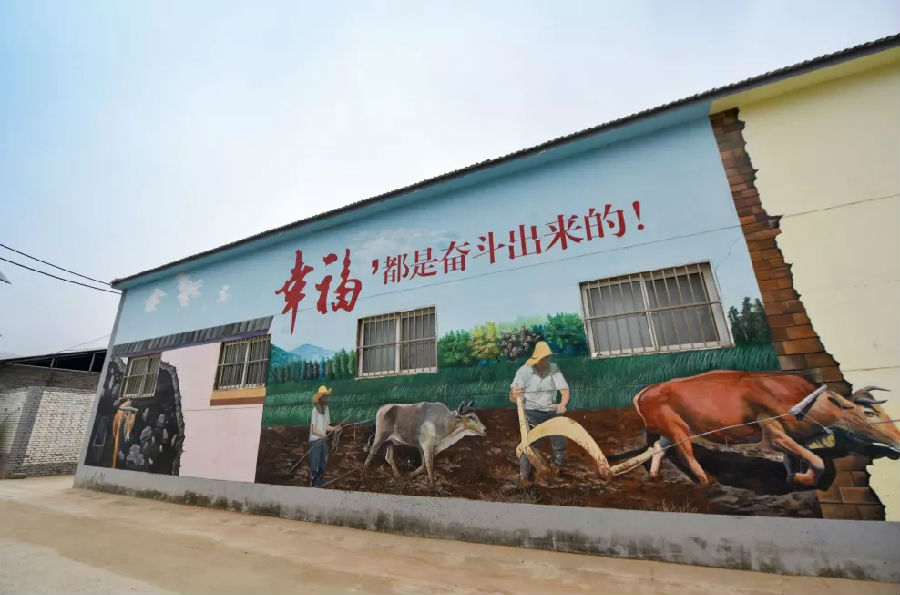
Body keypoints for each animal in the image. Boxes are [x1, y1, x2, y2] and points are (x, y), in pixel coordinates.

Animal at [632, 370, 900, 487]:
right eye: (869, 412)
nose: (898, 438)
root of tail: (646, 390)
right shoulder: (773, 434)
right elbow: (817, 461)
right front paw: (803, 478)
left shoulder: (791, 437)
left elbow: (793, 459)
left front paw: (792, 477)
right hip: (678, 429)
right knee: (686, 452)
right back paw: (704, 478)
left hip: (670, 430)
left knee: (657, 448)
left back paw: (654, 475)